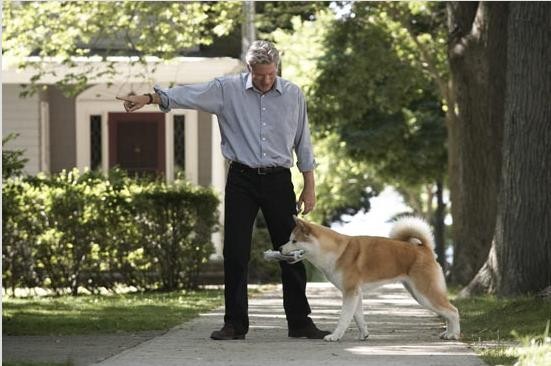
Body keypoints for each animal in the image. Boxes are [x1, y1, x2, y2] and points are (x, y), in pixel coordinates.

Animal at [282, 216, 460, 342]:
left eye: (294, 241)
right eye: (289, 239)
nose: (280, 248)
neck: (336, 252)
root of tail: (425, 249)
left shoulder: (350, 292)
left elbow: (344, 318)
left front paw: (335, 336)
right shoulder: (356, 293)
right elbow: (358, 317)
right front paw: (364, 334)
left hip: (425, 293)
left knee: (453, 311)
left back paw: (454, 334)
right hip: (418, 294)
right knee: (447, 312)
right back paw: (447, 333)